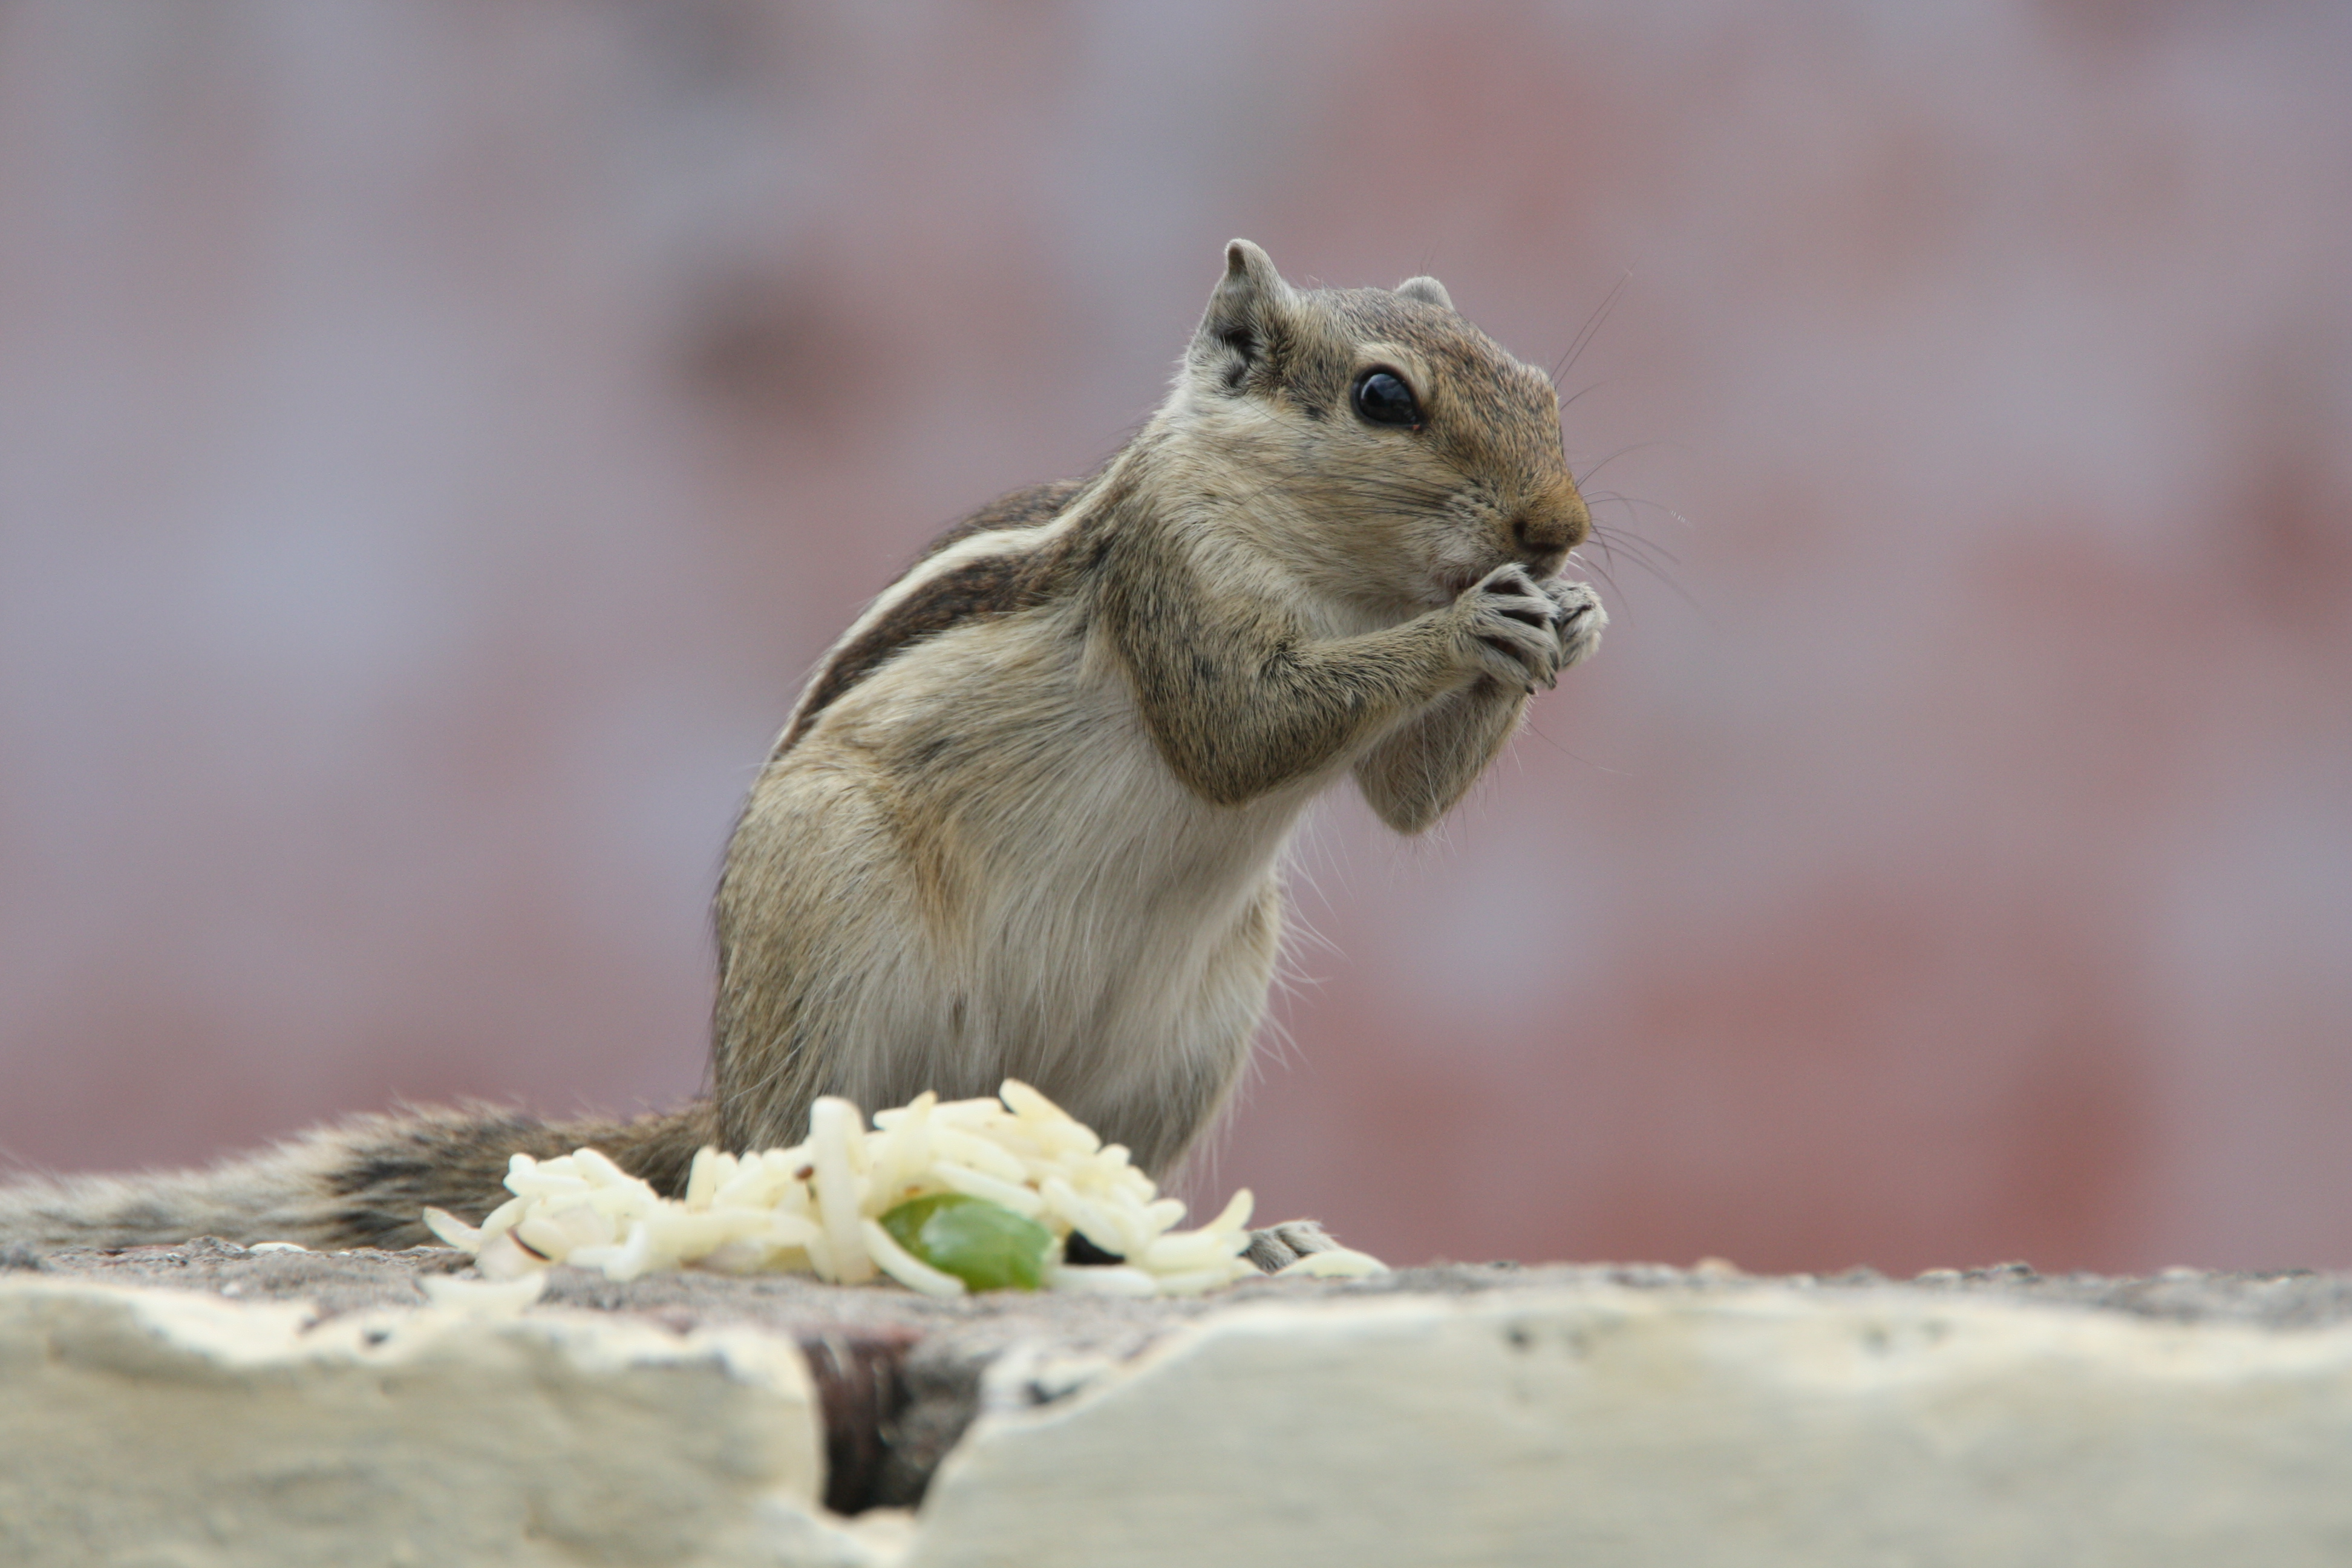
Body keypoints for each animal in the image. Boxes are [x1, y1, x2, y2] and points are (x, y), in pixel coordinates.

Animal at [0, 241, 1604, 1266]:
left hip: (1191, 1033)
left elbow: (1401, 802)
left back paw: (1216, 1238)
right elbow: (1235, 732)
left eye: (1540, 382)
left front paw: (1570, 620)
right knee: (791, 1132)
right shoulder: (1176, 588)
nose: (1560, 528)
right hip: (827, 912)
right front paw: (1474, 623)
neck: (1334, 570)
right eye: (1383, 398)